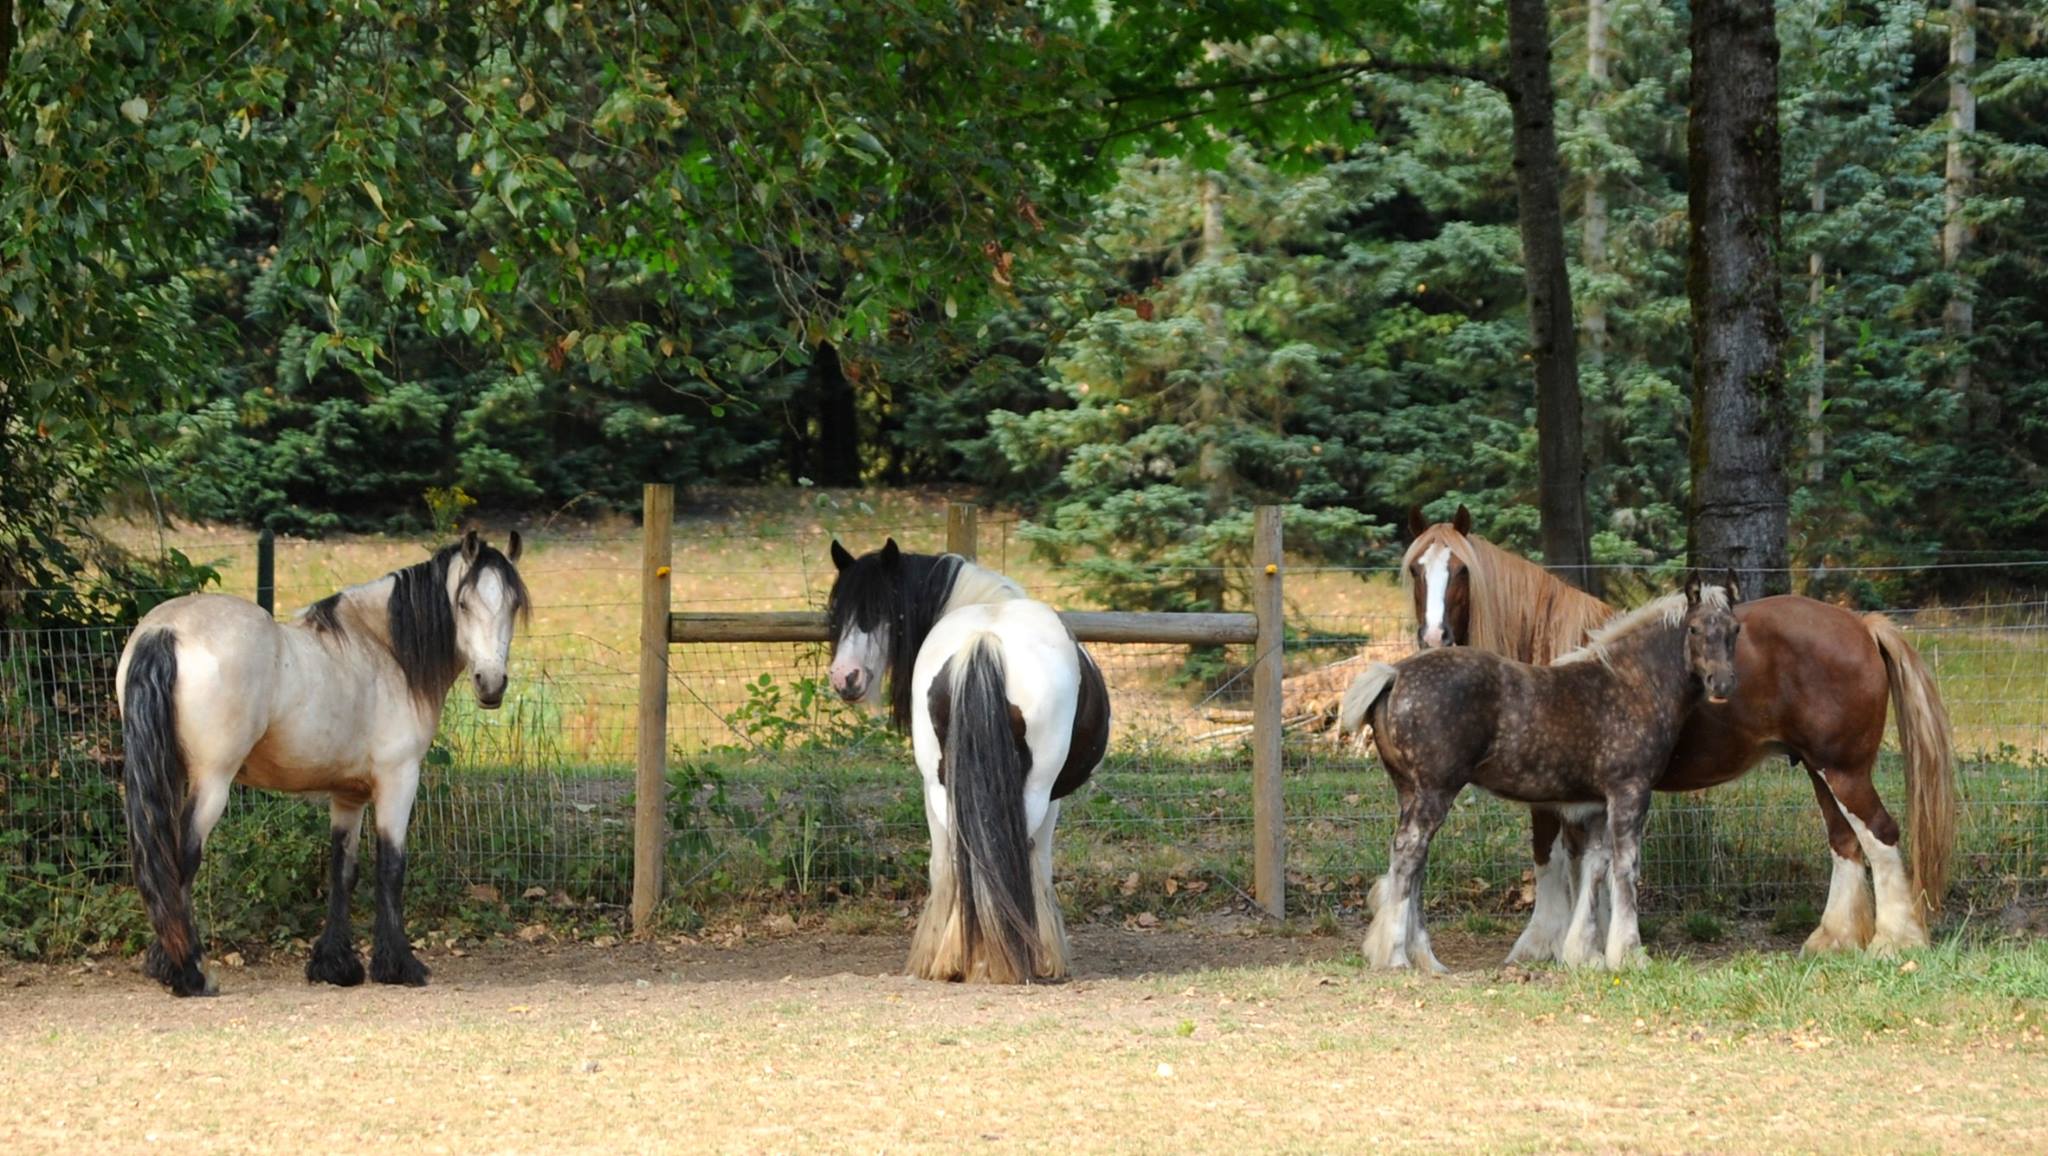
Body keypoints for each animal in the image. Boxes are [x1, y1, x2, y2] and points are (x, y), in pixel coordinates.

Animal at [117, 528, 528, 992]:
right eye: (463, 604)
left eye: (513, 604)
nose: (491, 683)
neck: (382, 649)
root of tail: (167, 630)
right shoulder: (399, 780)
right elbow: (391, 866)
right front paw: (401, 967)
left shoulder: (348, 795)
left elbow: (342, 871)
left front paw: (336, 965)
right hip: (212, 782)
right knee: (183, 858)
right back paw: (190, 973)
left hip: (170, 774)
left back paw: (167, 964)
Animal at [823, 537, 1114, 979]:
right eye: (840, 614)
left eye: (880, 611)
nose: (845, 677)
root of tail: (985, 639)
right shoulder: (1051, 800)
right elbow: (1038, 864)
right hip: (1030, 791)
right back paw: (984, 959)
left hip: (941, 787)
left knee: (959, 858)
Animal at [1400, 504, 1957, 959]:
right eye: (1415, 569)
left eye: (1461, 570)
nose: (1434, 638)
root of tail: (1861, 625)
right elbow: (1590, 865)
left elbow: (1552, 858)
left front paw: (1546, 945)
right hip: (1821, 770)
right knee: (1845, 842)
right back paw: (1834, 939)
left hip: (1843, 769)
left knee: (1880, 835)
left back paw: (1895, 942)